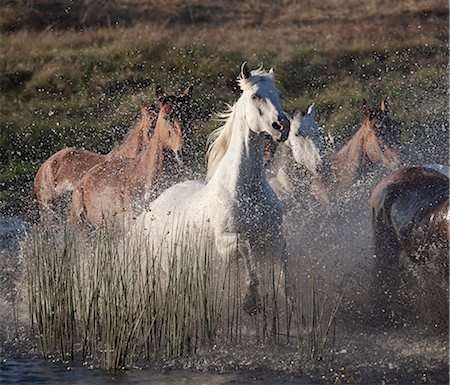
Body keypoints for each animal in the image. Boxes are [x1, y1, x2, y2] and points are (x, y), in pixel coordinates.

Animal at [130, 63, 292, 314]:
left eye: (280, 95)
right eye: (255, 96)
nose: (281, 127)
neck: (246, 190)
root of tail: (150, 210)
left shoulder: (273, 236)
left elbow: (284, 274)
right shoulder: (224, 242)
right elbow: (244, 248)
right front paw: (250, 299)